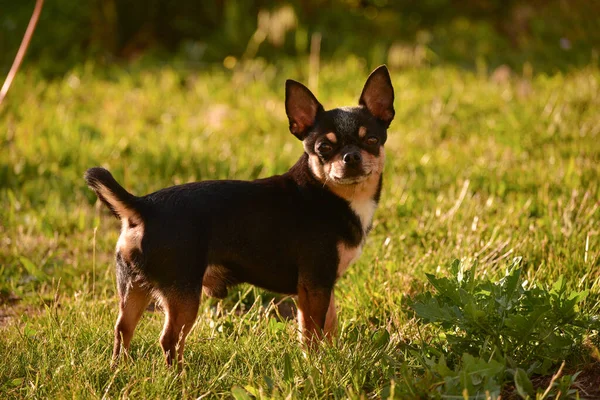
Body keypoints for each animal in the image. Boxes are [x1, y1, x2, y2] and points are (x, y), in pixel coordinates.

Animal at [84, 65, 394, 366]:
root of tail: (143, 207)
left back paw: (119, 370)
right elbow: (312, 333)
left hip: (133, 288)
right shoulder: (315, 285)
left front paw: (331, 357)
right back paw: (179, 376)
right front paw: (318, 366)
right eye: (324, 148)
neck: (330, 194)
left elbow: (329, 326)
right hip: (184, 294)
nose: (351, 157)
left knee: (122, 330)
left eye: (372, 140)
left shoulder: (323, 286)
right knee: (169, 341)